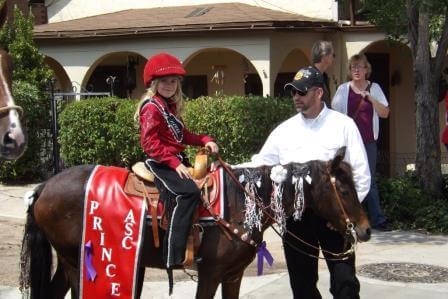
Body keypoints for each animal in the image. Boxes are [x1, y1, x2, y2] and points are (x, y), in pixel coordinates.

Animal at [20, 148, 372, 299]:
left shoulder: (232, 275)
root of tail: (42, 188)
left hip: (69, 262)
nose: (365, 229)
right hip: (75, 262)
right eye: (343, 190)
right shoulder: (211, 273)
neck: (238, 201)